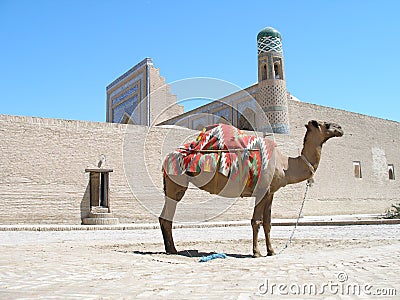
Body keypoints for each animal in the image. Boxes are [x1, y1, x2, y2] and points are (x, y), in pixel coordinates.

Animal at [159, 120, 344, 256]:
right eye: (327, 124)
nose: (341, 128)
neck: (285, 165)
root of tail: (167, 158)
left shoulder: (270, 193)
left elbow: (268, 223)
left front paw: (271, 251)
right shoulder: (261, 190)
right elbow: (256, 221)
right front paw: (256, 253)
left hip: (174, 186)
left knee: (165, 217)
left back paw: (170, 250)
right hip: (176, 183)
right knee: (167, 216)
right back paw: (173, 250)